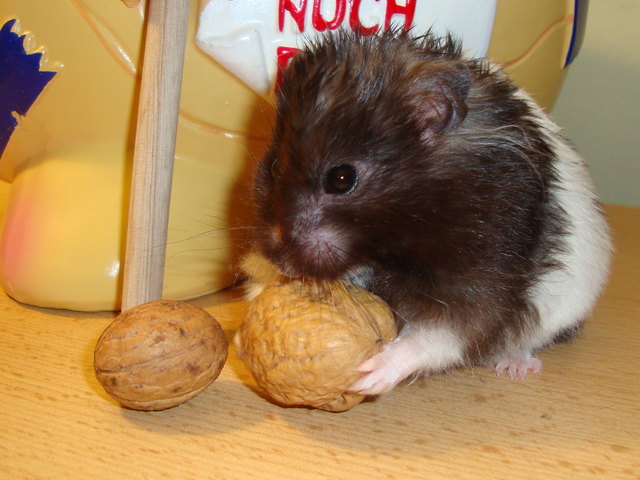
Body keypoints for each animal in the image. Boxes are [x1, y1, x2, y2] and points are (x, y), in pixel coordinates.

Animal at [252, 29, 612, 396]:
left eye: (341, 179)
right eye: (275, 165)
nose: (280, 263)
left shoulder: (485, 263)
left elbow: (444, 332)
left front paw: (369, 375)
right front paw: (261, 291)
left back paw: (515, 367)